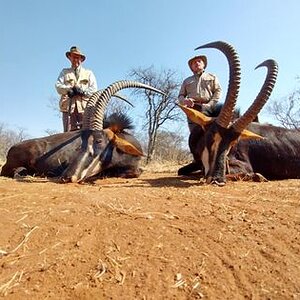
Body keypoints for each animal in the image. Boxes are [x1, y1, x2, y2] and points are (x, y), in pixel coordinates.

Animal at [178, 40, 300, 185]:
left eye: (233, 143)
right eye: (211, 136)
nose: (217, 179)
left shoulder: (242, 165)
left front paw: (258, 176)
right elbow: (182, 171)